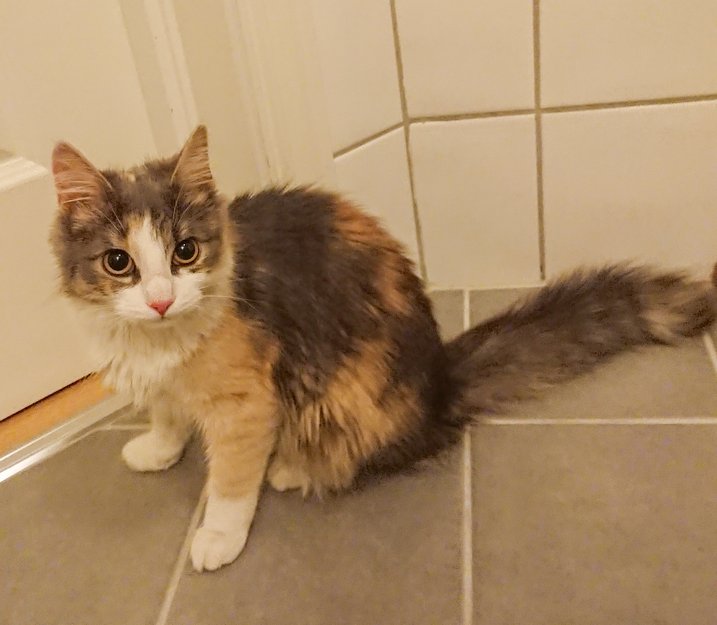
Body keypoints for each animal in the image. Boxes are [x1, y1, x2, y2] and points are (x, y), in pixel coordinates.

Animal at [49, 125, 714, 572]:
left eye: (185, 251)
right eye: (119, 262)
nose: (161, 300)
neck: (156, 341)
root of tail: (442, 382)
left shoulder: (246, 404)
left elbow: (233, 481)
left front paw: (218, 535)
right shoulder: (155, 382)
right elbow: (164, 415)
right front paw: (157, 450)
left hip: (345, 400)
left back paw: (291, 469)